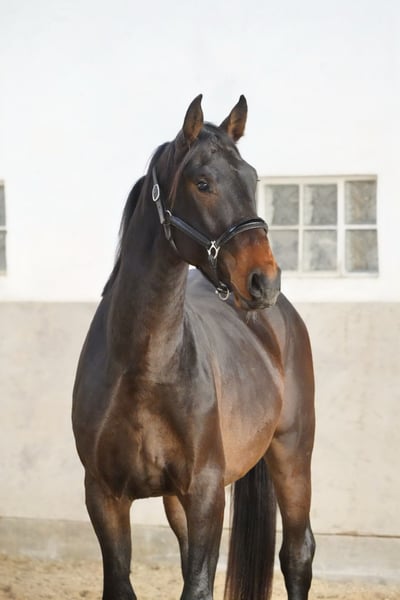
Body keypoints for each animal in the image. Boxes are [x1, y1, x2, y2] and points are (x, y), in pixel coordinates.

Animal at [72, 95, 315, 600]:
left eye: (252, 179)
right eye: (202, 183)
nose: (263, 280)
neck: (144, 366)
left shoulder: (205, 493)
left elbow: (199, 584)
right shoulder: (104, 496)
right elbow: (122, 581)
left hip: (293, 453)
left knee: (297, 554)